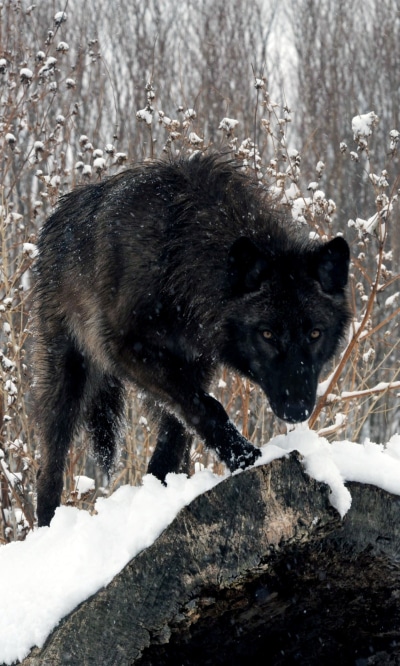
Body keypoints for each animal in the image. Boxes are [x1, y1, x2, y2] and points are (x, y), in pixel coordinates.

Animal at [33, 152, 351, 526]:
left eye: (315, 333)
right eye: (267, 334)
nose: (297, 408)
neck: (180, 251)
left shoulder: (195, 365)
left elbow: (179, 432)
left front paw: (163, 493)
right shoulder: (127, 350)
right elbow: (207, 407)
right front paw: (245, 457)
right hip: (69, 377)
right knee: (50, 461)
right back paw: (47, 526)